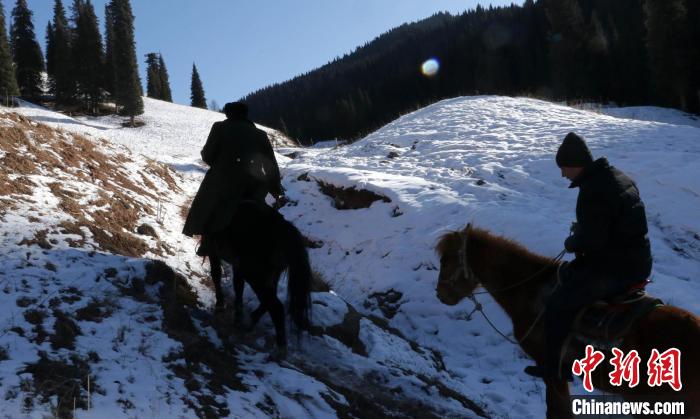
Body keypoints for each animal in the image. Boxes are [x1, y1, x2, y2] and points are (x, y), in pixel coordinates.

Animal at [204, 201, 310, 358]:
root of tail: (285, 230)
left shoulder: (213, 248)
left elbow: (216, 273)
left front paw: (220, 304)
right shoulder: (238, 265)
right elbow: (238, 286)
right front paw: (238, 315)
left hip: (254, 273)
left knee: (276, 305)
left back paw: (280, 350)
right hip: (268, 274)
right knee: (268, 300)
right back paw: (251, 321)